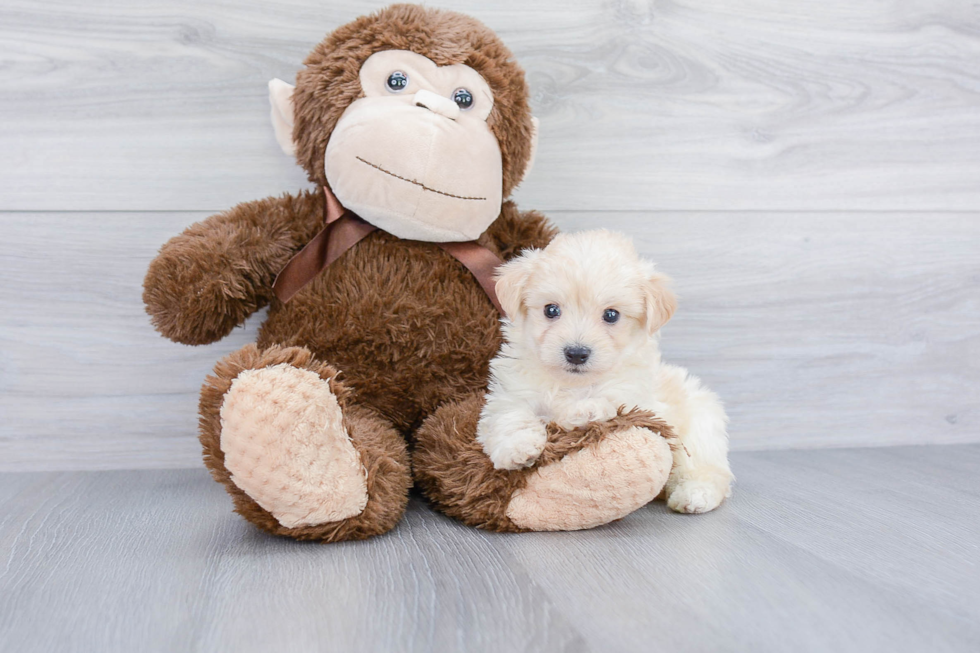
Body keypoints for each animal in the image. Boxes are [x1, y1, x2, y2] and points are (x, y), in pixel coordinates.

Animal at [474, 229, 736, 516]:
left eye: (611, 315)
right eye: (551, 310)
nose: (576, 353)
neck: (570, 383)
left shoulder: (636, 397)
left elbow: (609, 400)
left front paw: (584, 410)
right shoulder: (510, 392)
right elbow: (511, 416)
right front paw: (517, 448)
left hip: (700, 429)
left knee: (707, 469)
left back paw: (694, 495)